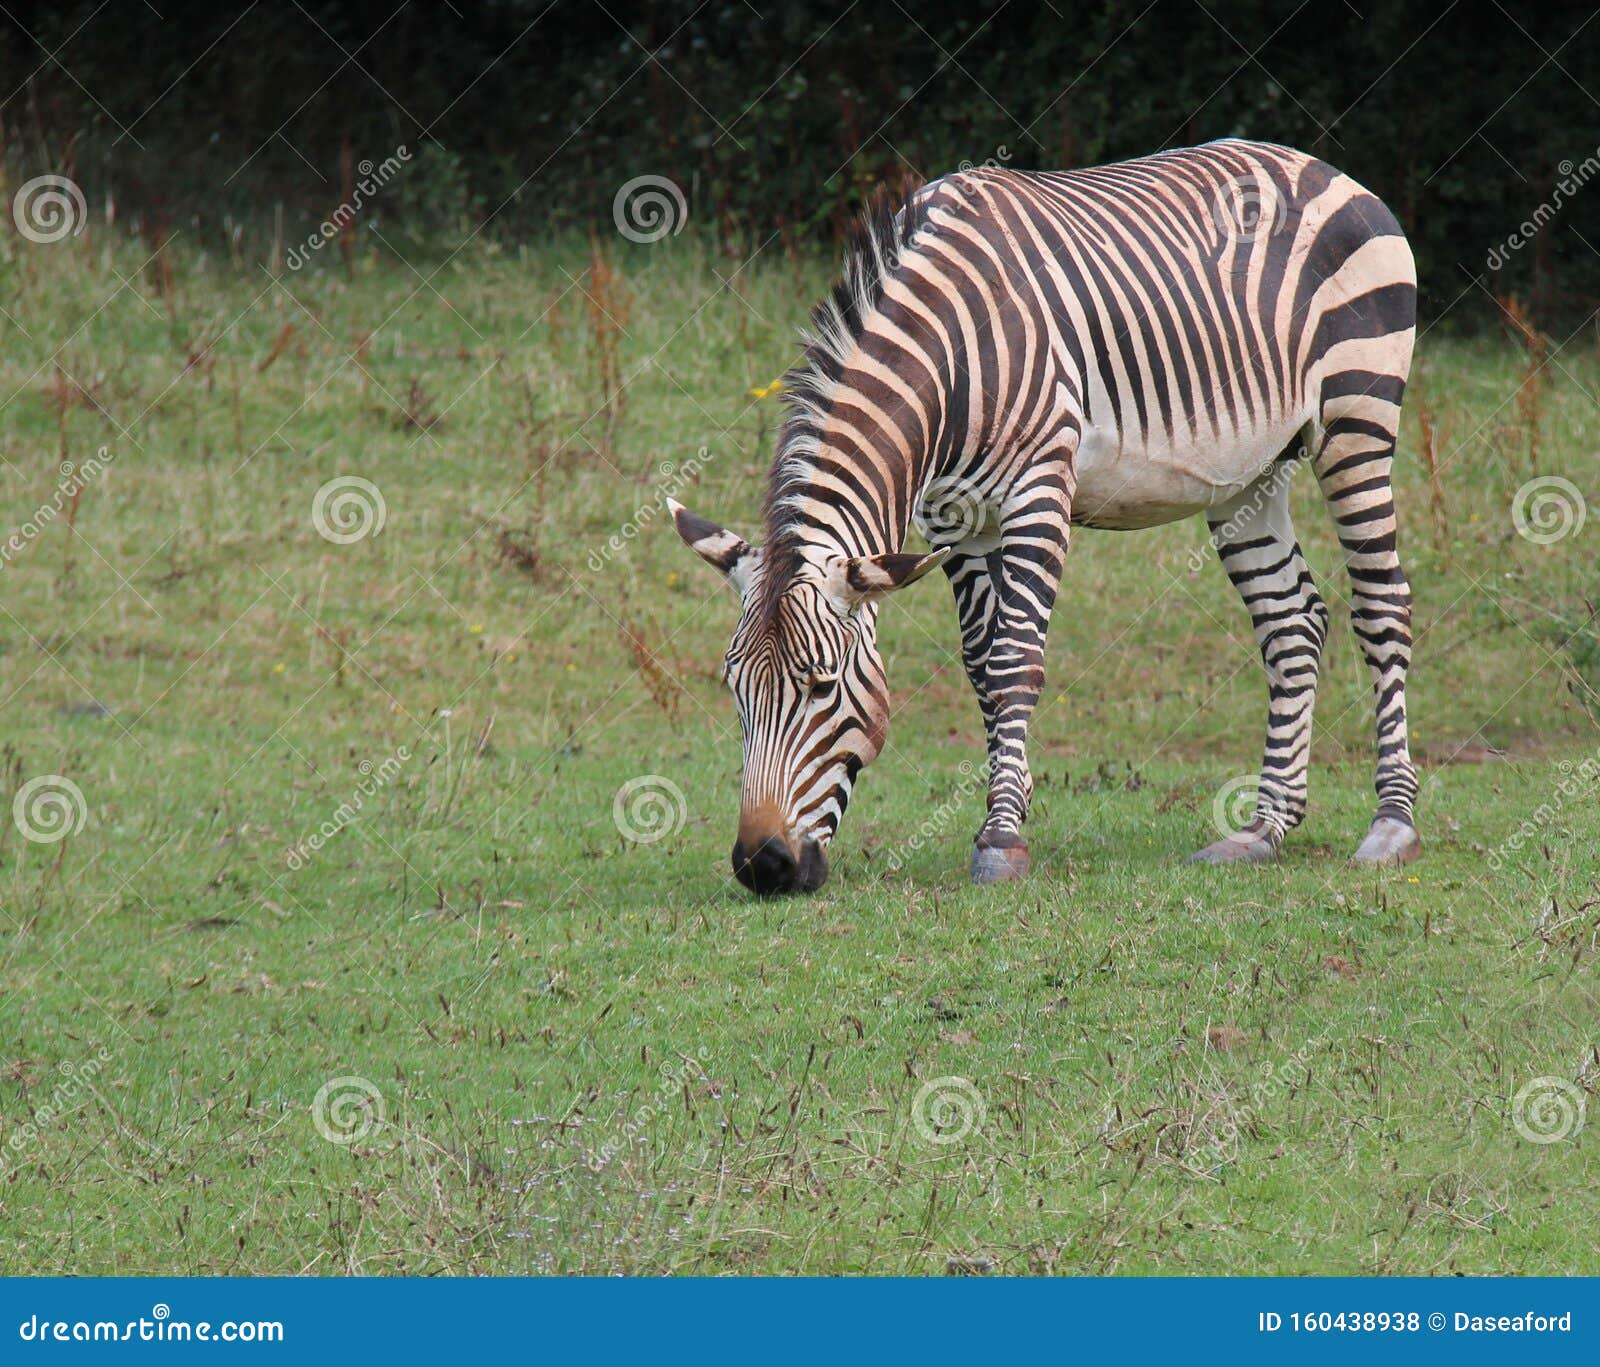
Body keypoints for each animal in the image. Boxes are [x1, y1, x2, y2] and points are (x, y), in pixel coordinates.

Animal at [671, 139, 1420, 895]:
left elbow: (1013, 660)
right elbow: (980, 664)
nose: (763, 865)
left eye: (821, 686)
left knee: (1381, 604)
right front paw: (1010, 804)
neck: (948, 353)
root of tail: (1316, 165)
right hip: (1249, 472)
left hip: (1358, 414)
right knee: (1291, 621)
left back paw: (1392, 824)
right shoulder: (951, 519)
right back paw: (1263, 829)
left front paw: (1003, 837)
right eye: (734, 689)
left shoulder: (1038, 491)